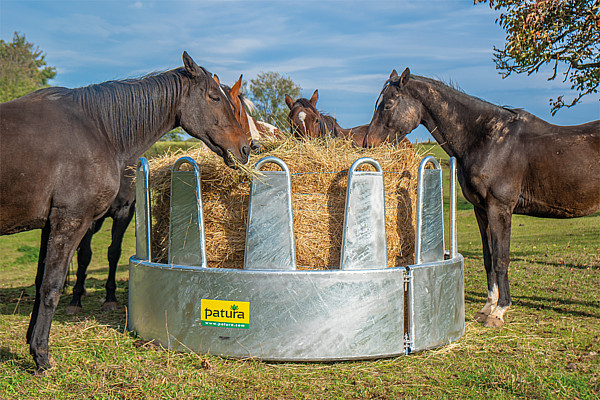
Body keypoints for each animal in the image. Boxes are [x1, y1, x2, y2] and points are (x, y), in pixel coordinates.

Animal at [0, 52, 248, 372]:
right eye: (214, 97)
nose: (246, 148)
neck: (97, 128)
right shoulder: (70, 221)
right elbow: (52, 286)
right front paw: (41, 355)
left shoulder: (50, 224)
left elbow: (42, 278)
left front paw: (32, 342)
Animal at [366, 68, 600, 328]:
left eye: (387, 105)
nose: (368, 144)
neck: (488, 140)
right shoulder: (481, 210)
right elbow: (488, 258)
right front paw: (487, 307)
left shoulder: (500, 208)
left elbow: (501, 258)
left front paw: (499, 311)